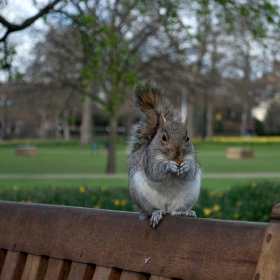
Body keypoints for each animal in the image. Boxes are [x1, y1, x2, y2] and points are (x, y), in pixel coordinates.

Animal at [127, 82, 201, 229]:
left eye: (187, 138)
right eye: (164, 137)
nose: (177, 153)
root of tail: (167, 206)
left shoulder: (190, 157)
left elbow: (191, 172)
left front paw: (186, 167)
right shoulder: (150, 159)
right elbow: (156, 172)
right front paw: (169, 166)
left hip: (190, 194)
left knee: (175, 211)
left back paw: (185, 212)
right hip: (141, 194)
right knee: (150, 210)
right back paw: (156, 213)